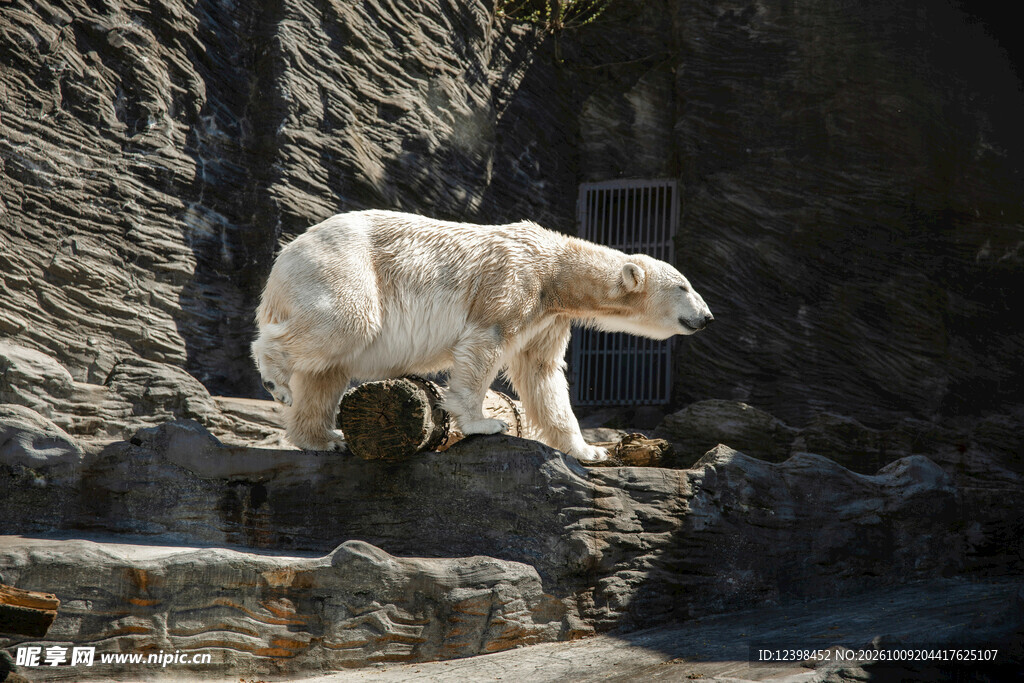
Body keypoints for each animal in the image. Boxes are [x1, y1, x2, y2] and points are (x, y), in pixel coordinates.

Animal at [251, 210, 713, 462]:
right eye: (684, 286)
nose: (707, 317)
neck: (556, 271)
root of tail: (281, 260)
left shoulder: (549, 317)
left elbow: (542, 372)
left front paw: (588, 450)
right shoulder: (515, 282)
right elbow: (485, 343)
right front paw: (485, 422)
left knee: (326, 370)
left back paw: (323, 439)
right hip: (343, 267)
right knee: (347, 322)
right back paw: (276, 378)